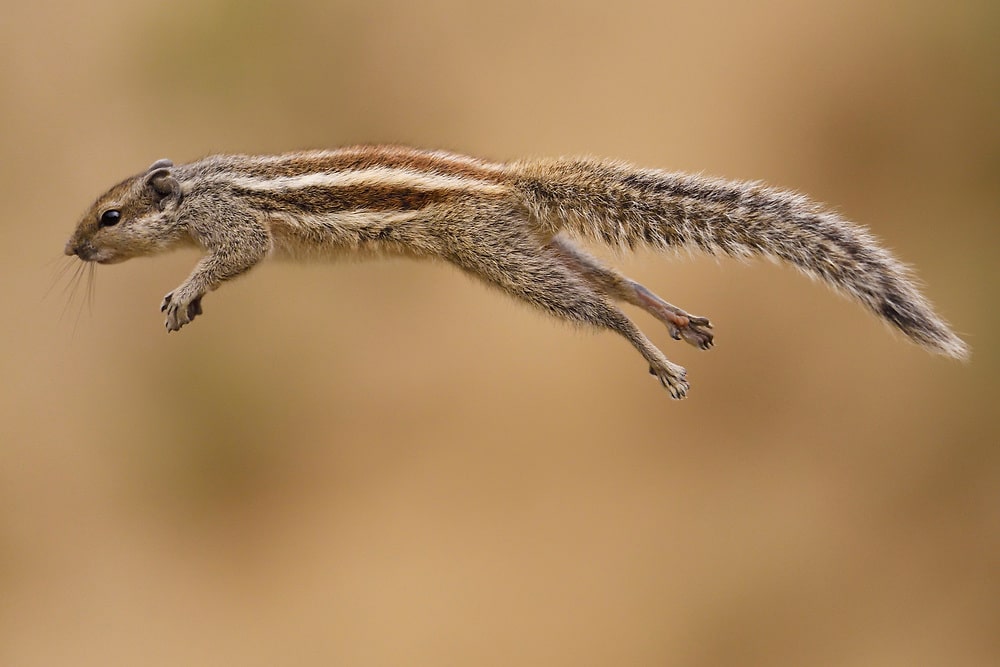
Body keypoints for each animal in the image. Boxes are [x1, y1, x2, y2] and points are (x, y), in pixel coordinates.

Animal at [64, 146, 968, 398]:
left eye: (108, 216)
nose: (72, 250)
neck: (199, 183)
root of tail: (512, 180)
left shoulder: (236, 227)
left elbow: (235, 255)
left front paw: (183, 290)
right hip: (528, 245)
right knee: (619, 282)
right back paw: (679, 322)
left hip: (500, 257)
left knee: (602, 310)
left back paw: (661, 359)